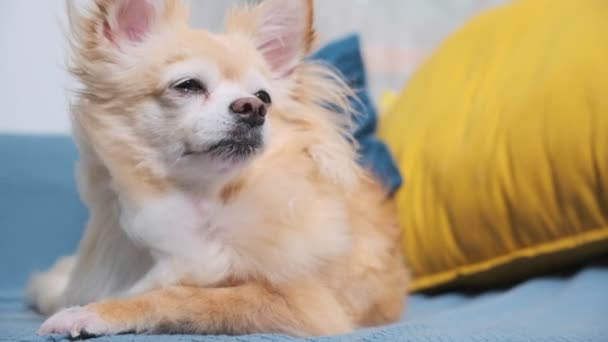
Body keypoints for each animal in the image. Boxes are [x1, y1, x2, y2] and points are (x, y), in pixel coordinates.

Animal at [28, 0, 408, 336]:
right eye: (187, 86)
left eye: (265, 98)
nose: (253, 108)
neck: (198, 200)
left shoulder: (305, 304)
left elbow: (181, 295)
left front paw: (94, 313)